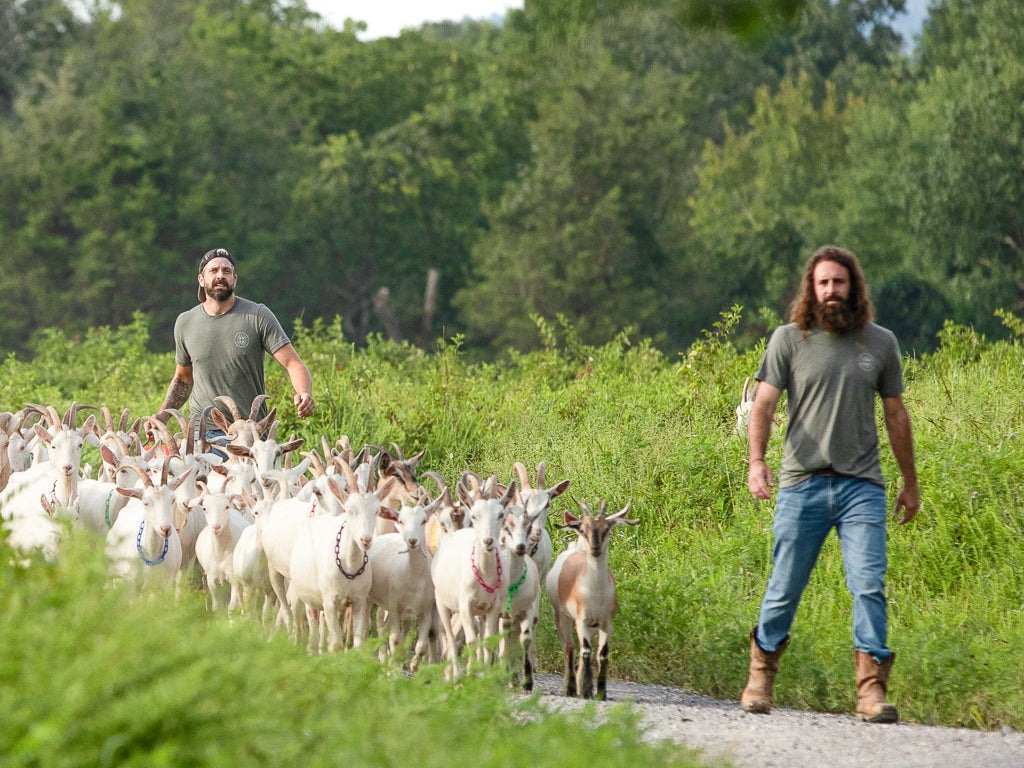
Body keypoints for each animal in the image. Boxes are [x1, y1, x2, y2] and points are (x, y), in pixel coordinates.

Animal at [548, 499, 634, 704]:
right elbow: (585, 651)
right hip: (562, 616)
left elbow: (602, 655)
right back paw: (570, 688)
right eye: (583, 529)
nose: (595, 549)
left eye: (607, 529)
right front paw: (586, 691)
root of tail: (575, 550)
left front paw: (600, 692)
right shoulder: (582, 620)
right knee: (570, 647)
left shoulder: (606, 623)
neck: (596, 592)